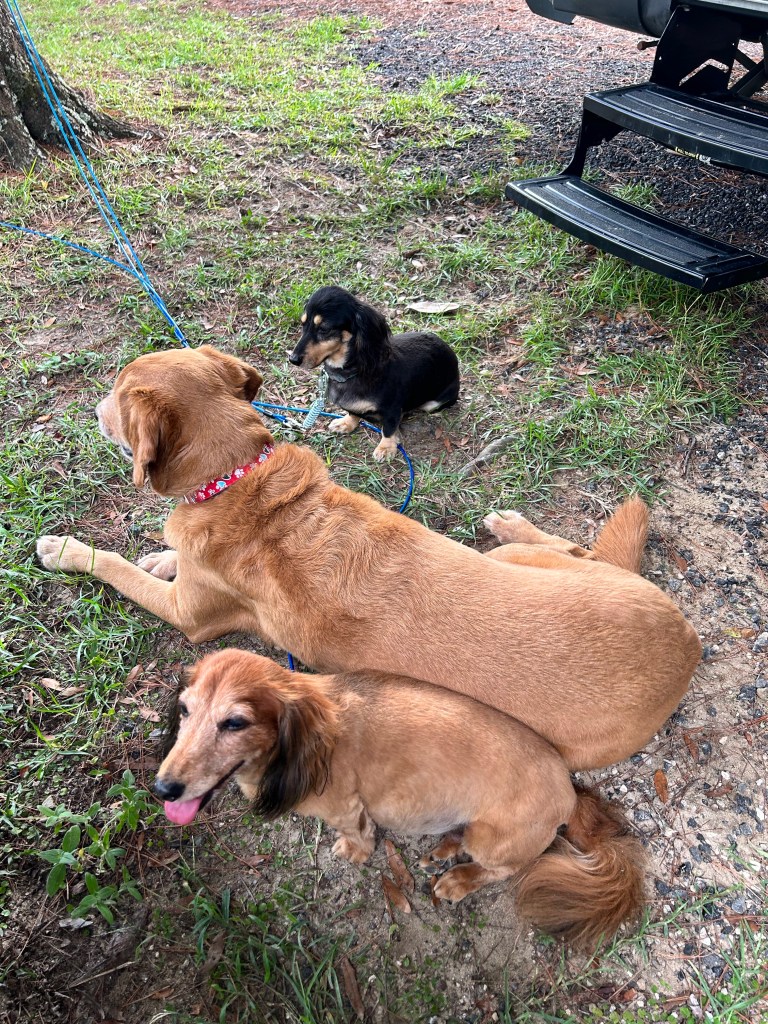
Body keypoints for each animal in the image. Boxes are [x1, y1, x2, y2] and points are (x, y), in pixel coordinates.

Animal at [36, 345, 701, 770]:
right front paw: (163, 556)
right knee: (572, 545)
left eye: (117, 395)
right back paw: (510, 521)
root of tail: (685, 642)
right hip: (534, 561)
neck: (238, 478)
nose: (93, 408)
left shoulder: (191, 618)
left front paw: (68, 550)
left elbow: (115, 565)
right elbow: (160, 561)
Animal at [155, 649, 646, 949]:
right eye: (184, 709)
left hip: (495, 840)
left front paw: (352, 852)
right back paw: (444, 850)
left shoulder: (348, 810)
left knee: (505, 868)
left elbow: (357, 837)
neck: (312, 741)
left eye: (235, 722)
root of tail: (569, 790)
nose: (163, 789)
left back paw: (459, 879)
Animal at [288, 286, 460, 461]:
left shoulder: (392, 409)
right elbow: (353, 413)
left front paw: (386, 448)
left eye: (324, 328)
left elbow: (388, 429)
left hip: (434, 403)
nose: (293, 359)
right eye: (303, 324)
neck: (352, 371)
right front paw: (346, 423)